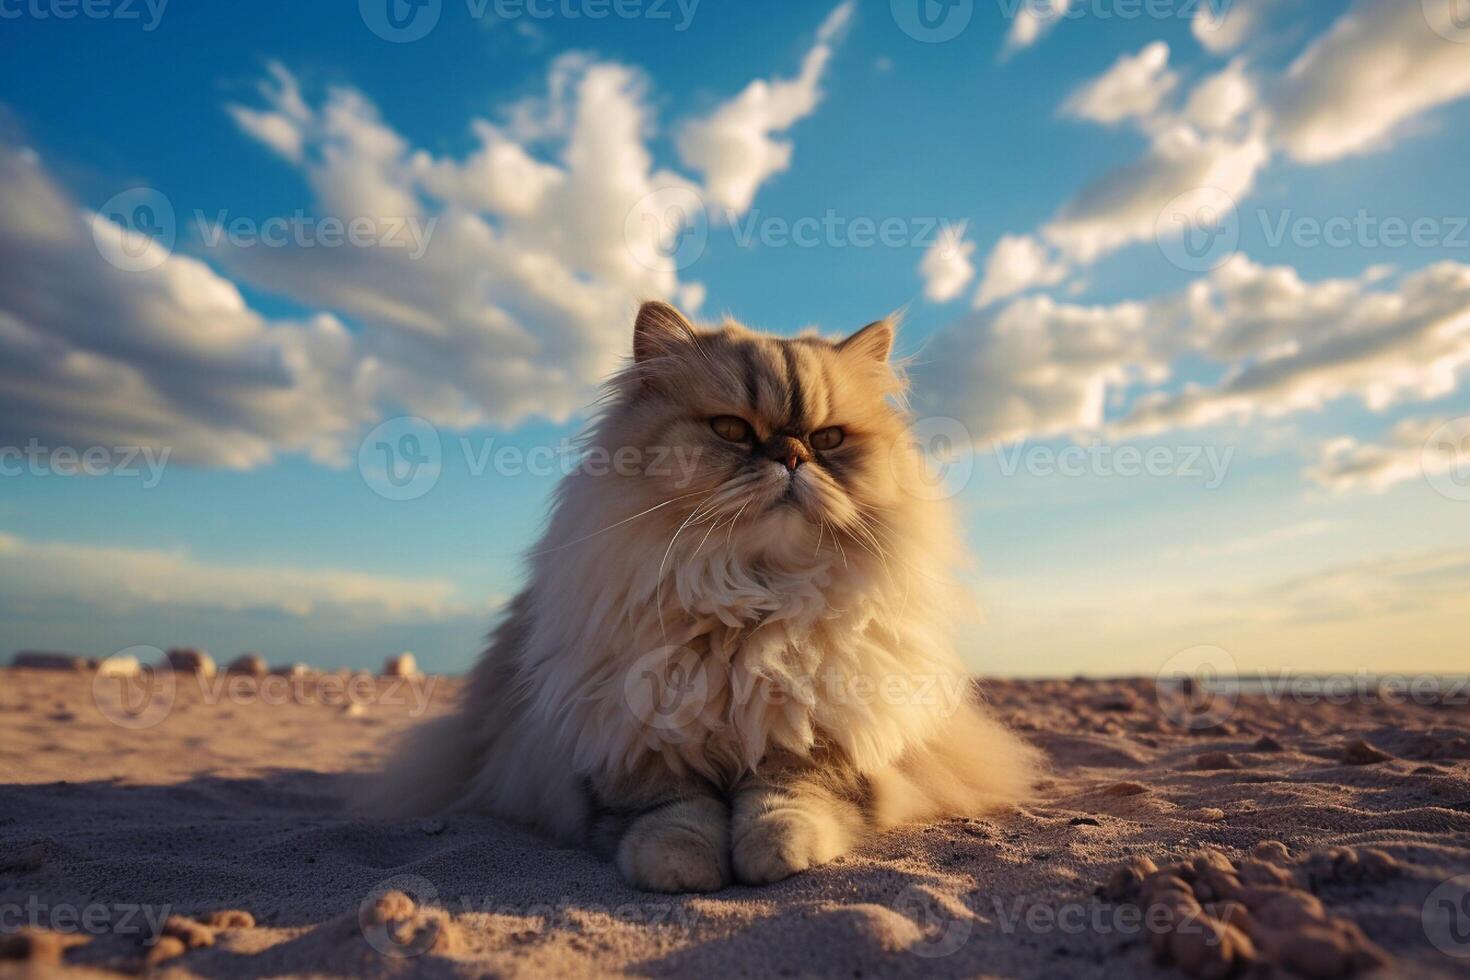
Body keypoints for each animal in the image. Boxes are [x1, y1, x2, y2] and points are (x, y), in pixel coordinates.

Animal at [373, 302, 1046, 893]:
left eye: (828, 439)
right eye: (732, 430)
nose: (792, 456)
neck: (750, 603)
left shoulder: (817, 743)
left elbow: (788, 803)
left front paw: (777, 855)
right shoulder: (632, 749)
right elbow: (673, 816)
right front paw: (682, 869)